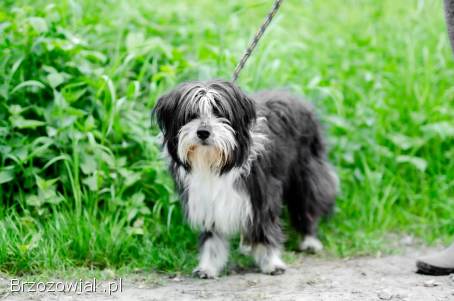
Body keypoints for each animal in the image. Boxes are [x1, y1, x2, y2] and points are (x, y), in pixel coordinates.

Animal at [153, 79, 336, 276]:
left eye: (219, 111)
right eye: (190, 114)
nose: (203, 132)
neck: (216, 163)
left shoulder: (261, 194)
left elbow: (264, 226)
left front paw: (272, 262)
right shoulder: (207, 200)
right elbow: (212, 238)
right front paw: (208, 266)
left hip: (305, 174)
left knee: (307, 204)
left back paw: (310, 240)